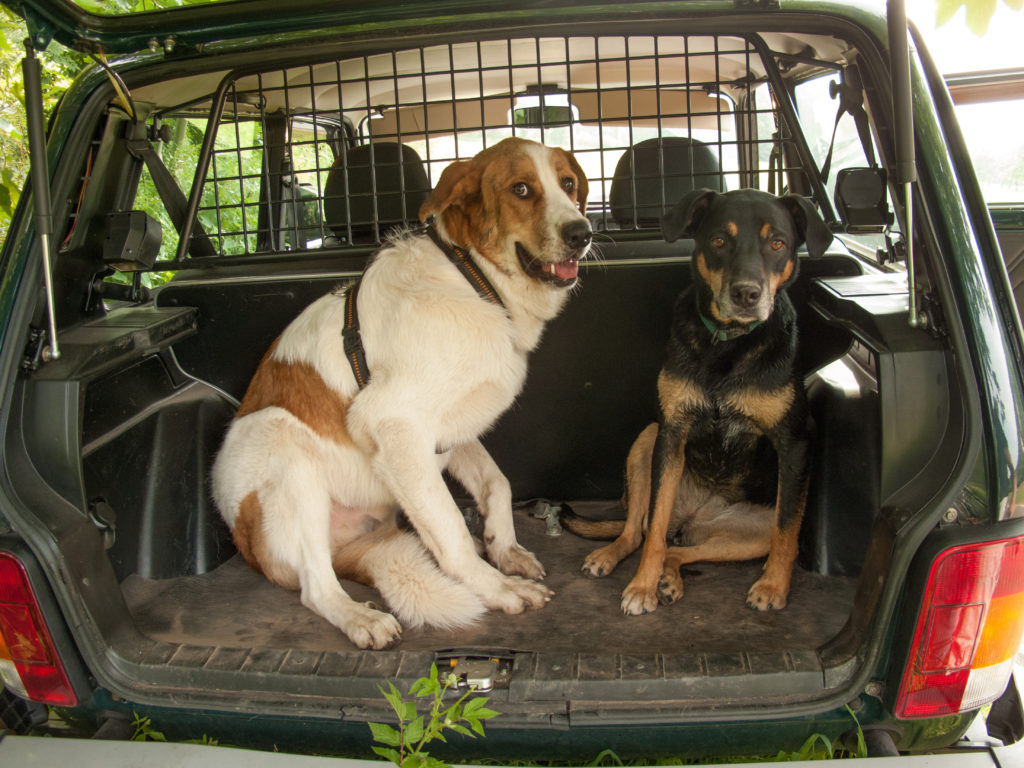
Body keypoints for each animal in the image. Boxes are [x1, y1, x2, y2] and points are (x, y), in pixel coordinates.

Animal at [209, 137, 593, 651]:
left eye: (567, 184)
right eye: (522, 189)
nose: (582, 233)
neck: (472, 279)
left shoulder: (447, 433)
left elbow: (497, 483)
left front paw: (503, 547)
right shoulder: (394, 426)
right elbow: (450, 527)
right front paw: (495, 587)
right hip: (280, 443)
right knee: (316, 588)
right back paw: (359, 617)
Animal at [565, 189, 835, 618]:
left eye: (778, 243)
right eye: (719, 240)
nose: (746, 294)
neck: (727, 342)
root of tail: (695, 518)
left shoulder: (796, 442)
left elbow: (787, 529)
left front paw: (773, 586)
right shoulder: (671, 434)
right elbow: (654, 531)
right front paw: (641, 586)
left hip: (746, 536)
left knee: (683, 551)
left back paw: (671, 578)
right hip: (646, 441)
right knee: (640, 531)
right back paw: (614, 557)